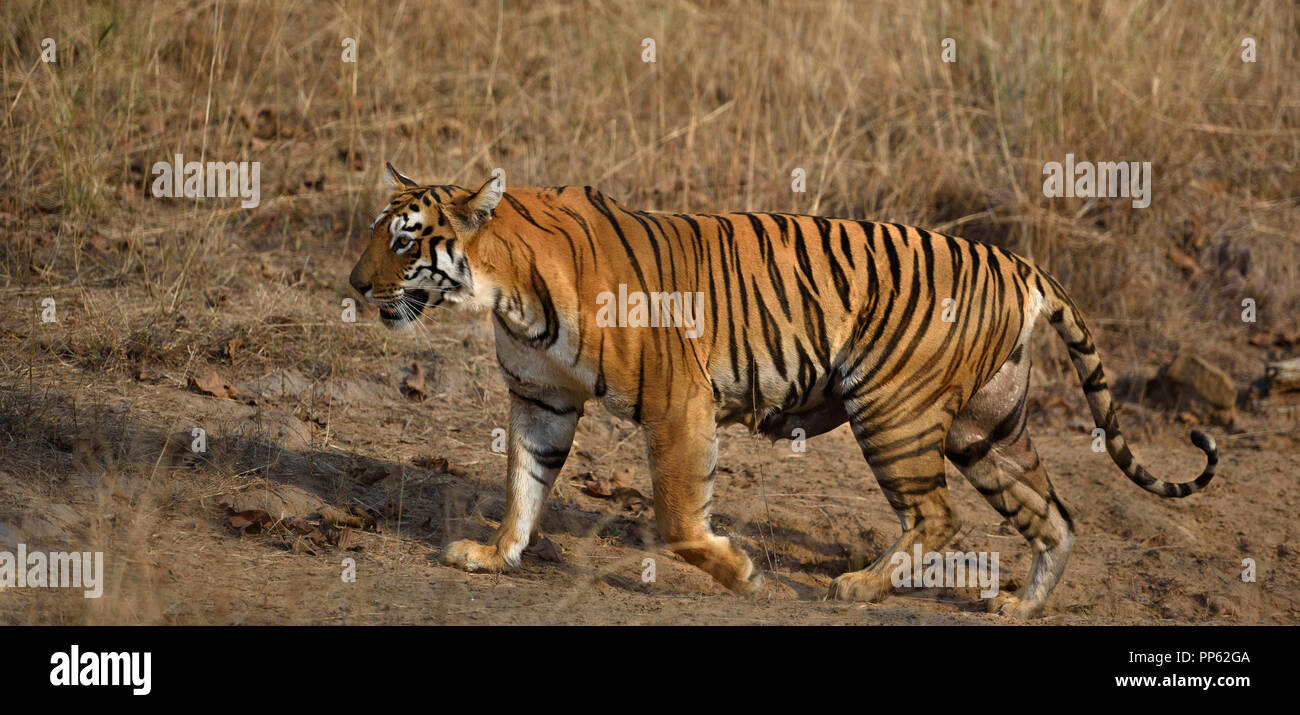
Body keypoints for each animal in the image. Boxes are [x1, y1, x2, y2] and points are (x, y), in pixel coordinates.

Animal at [348, 163, 1216, 621]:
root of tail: (1019, 263)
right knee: (1055, 516)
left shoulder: (680, 401)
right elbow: (523, 485)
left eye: (403, 240)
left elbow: (677, 518)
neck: (508, 293)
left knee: (938, 515)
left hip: (892, 409)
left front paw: (743, 573)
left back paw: (855, 586)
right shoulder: (541, 400)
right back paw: (1019, 607)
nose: (354, 284)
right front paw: (494, 555)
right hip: (988, 429)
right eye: (374, 232)